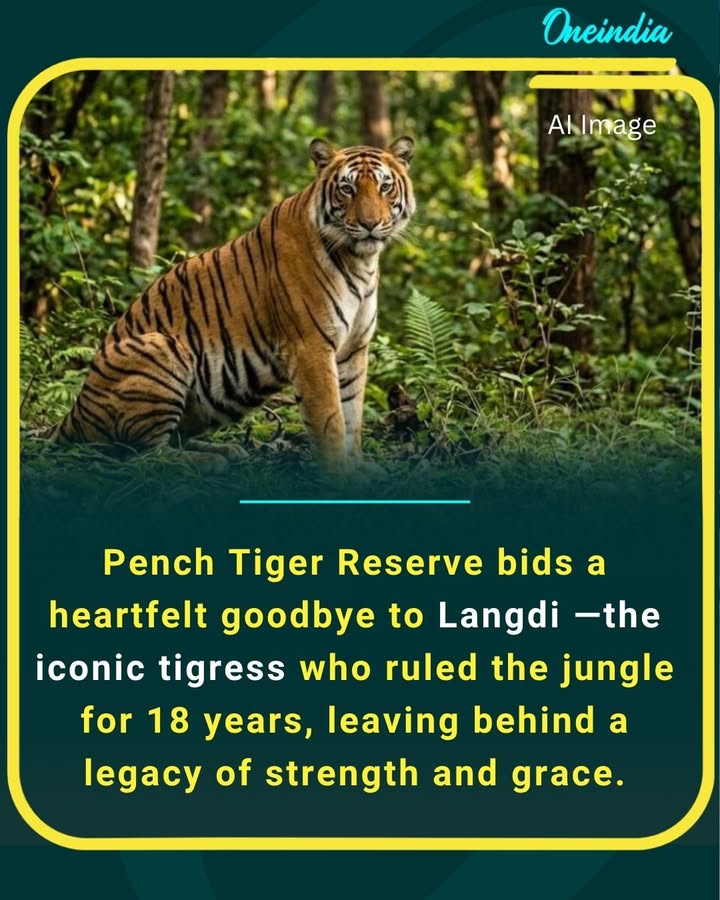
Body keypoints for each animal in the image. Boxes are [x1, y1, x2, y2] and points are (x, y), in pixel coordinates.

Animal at [50, 136, 416, 472]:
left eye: (384, 187)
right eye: (347, 189)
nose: (369, 224)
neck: (360, 261)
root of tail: (76, 410)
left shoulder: (354, 348)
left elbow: (352, 414)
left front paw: (360, 467)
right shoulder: (311, 347)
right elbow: (331, 420)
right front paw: (340, 476)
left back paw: (225, 451)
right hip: (160, 346)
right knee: (145, 455)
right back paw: (207, 460)